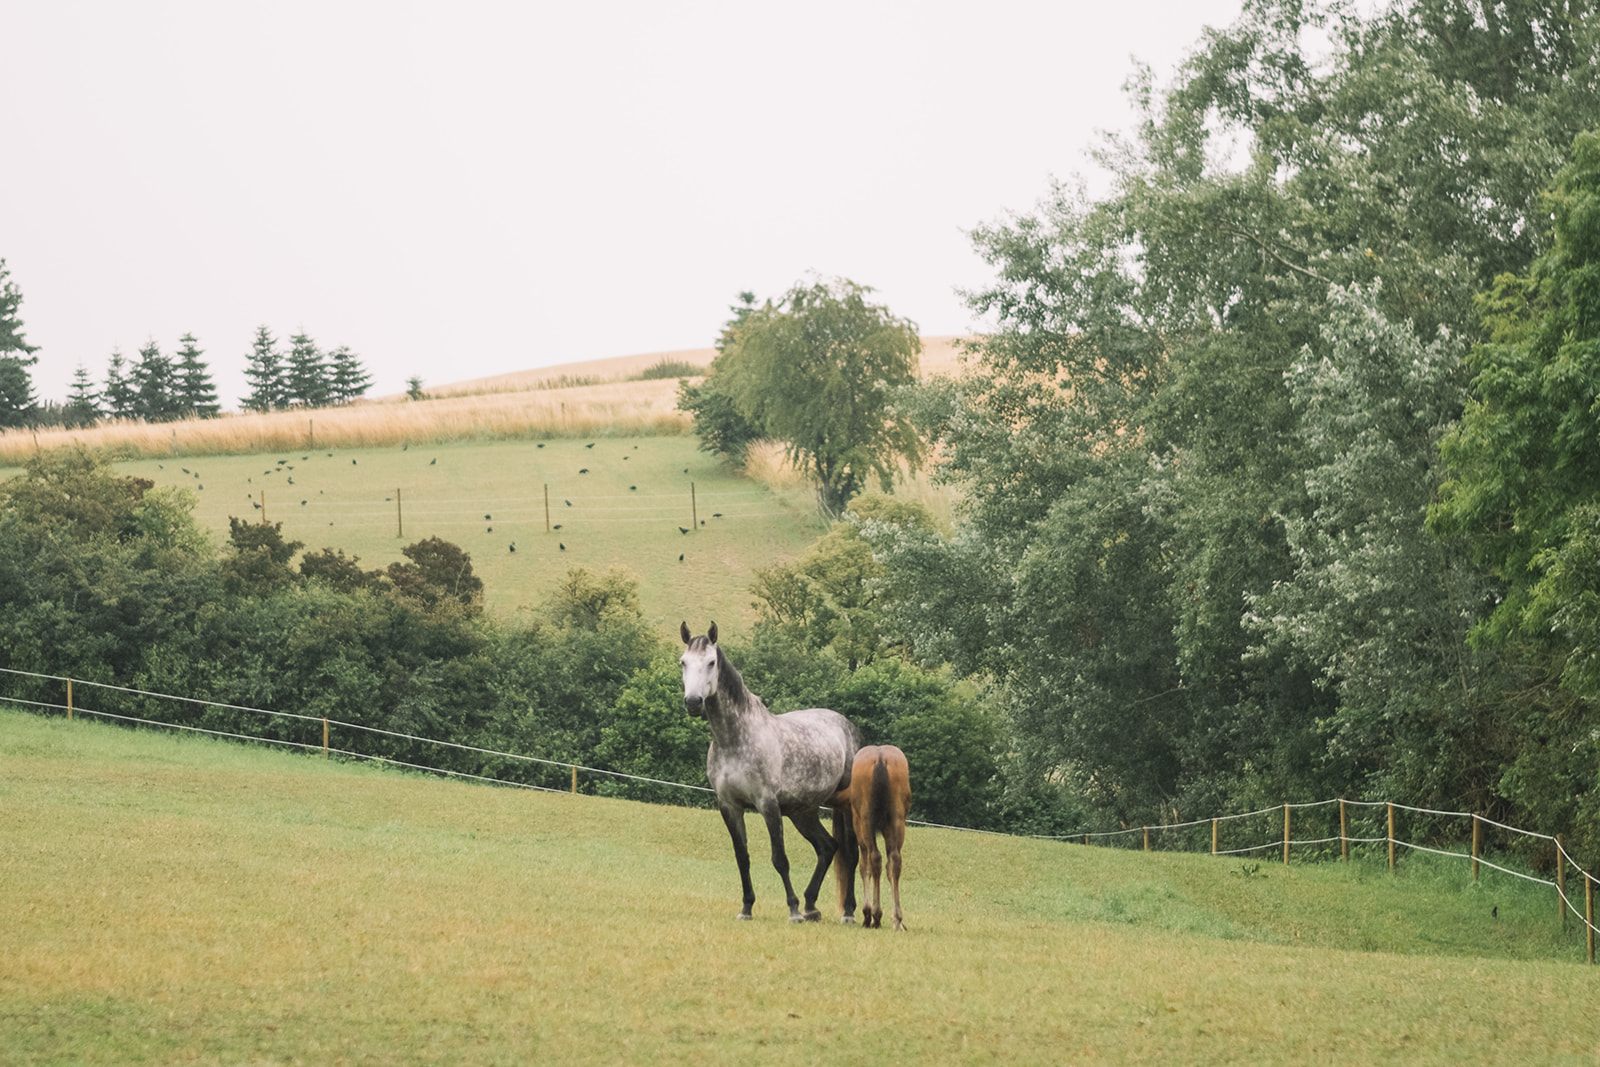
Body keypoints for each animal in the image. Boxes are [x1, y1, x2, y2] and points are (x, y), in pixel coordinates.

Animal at [680, 621, 863, 922]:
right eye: (683, 662)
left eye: (711, 662)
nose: (693, 702)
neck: (735, 740)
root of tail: (849, 728)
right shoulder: (729, 806)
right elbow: (742, 858)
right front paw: (746, 908)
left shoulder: (768, 804)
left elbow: (780, 859)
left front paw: (793, 910)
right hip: (803, 812)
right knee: (827, 847)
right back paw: (811, 906)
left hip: (846, 806)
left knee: (852, 852)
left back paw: (846, 912)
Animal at [831, 745, 911, 931]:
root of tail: (880, 759)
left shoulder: (859, 825)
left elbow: (864, 866)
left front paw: (868, 913)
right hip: (896, 822)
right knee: (894, 861)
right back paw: (897, 919)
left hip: (865, 824)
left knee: (874, 858)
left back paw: (874, 915)